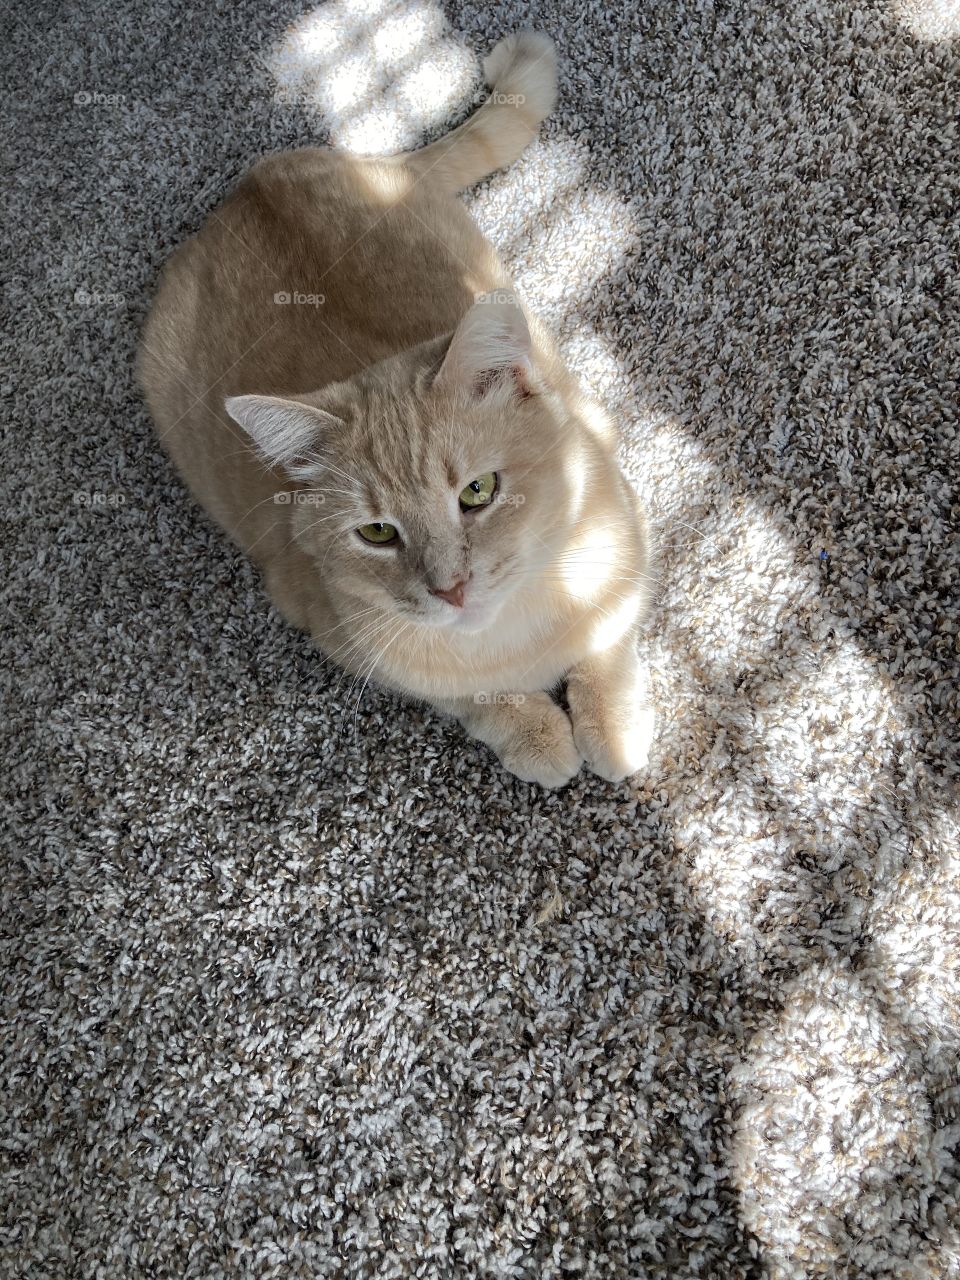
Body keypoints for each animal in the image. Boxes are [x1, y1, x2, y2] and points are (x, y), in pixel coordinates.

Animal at [140, 30, 655, 783]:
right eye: (377, 533)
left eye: (478, 491)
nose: (452, 590)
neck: (519, 628)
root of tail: (251, 187)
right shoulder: (345, 635)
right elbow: (476, 698)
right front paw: (536, 734)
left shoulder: (622, 519)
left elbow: (609, 637)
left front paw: (612, 724)